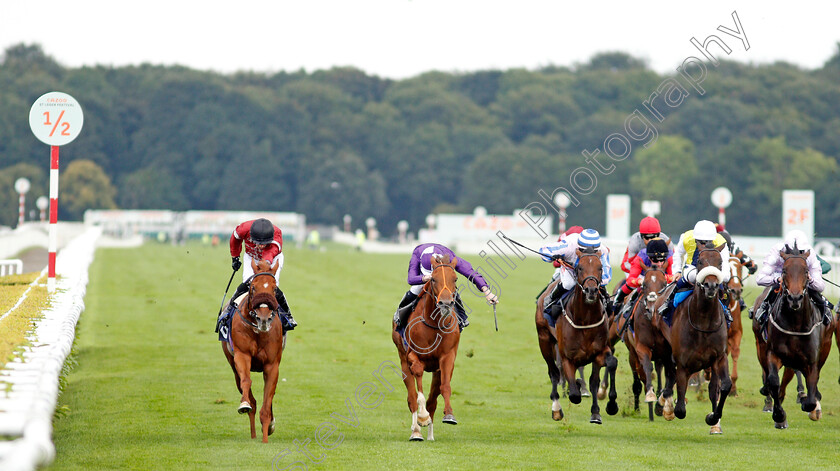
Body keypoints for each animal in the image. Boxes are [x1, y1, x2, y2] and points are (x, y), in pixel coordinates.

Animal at [221, 260, 284, 444]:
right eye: (253, 287)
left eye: (274, 289)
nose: (264, 318)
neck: (258, 330)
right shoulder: (242, 356)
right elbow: (247, 383)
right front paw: (244, 404)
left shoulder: (272, 365)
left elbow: (267, 401)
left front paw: (266, 436)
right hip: (232, 365)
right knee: (250, 397)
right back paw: (253, 432)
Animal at [392, 254, 460, 442]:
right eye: (434, 279)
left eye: (455, 278)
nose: (446, 303)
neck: (434, 323)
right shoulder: (413, 356)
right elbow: (418, 385)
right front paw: (422, 417)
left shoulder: (447, 357)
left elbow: (445, 387)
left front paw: (449, 415)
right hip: (403, 360)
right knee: (412, 397)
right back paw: (416, 431)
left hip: (436, 370)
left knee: (433, 400)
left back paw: (429, 434)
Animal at [536, 247, 620, 424]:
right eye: (580, 267)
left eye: (600, 268)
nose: (592, 290)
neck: (585, 320)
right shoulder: (567, 357)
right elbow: (574, 394)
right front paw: (575, 387)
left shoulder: (600, 351)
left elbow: (610, 365)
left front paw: (609, 406)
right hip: (544, 340)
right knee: (553, 372)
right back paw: (556, 408)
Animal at [652, 245, 732, 436]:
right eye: (700, 261)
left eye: (720, 262)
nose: (711, 285)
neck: (703, 321)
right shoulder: (683, 363)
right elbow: (680, 408)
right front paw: (669, 408)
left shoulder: (719, 357)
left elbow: (723, 386)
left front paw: (713, 418)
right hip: (663, 346)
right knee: (669, 373)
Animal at [756, 245, 832, 430]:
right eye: (784, 270)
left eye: (806, 271)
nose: (795, 298)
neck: (795, 324)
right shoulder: (774, 353)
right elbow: (774, 381)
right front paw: (779, 415)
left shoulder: (811, 360)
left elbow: (811, 394)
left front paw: (810, 405)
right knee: (776, 382)